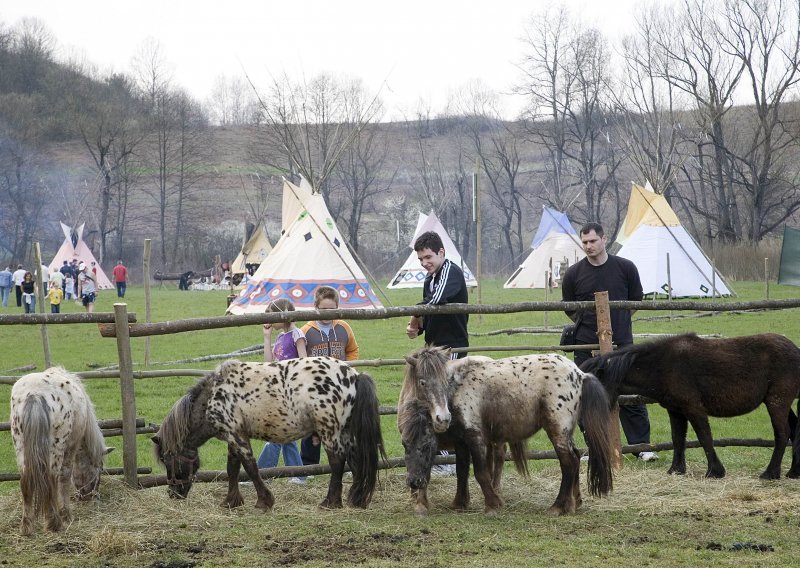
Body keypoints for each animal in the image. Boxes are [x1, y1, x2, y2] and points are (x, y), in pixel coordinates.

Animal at [9, 366, 111, 536]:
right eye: (99, 468)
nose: (88, 496)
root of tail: (35, 393)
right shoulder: (72, 446)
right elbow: (64, 477)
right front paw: (66, 514)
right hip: (56, 448)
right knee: (51, 478)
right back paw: (54, 523)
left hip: (20, 446)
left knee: (25, 482)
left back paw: (27, 527)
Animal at [152, 360, 388, 510]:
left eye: (167, 460)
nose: (173, 493)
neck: (212, 398)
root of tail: (354, 376)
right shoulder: (233, 437)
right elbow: (232, 469)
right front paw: (231, 501)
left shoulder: (237, 437)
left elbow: (250, 468)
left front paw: (264, 501)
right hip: (346, 432)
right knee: (355, 461)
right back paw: (357, 499)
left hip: (330, 432)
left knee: (338, 462)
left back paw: (330, 502)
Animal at [400, 346, 620, 516]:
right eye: (405, 445)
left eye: (427, 446)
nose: (442, 419)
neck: (457, 388)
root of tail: (580, 374)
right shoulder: (461, 442)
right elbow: (462, 471)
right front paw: (459, 503)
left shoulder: (476, 437)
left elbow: (481, 473)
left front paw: (492, 505)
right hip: (566, 432)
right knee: (576, 456)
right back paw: (574, 503)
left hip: (557, 430)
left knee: (569, 462)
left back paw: (557, 507)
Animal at [580, 332, 800, 480]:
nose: (581, 421)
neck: (662, 365)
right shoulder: (676, 411)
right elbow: (678, 439)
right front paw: (676, 470)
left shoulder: (694, 409)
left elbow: (705, 438)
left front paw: (715, 471)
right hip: (781, 403)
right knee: (794, 430)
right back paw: (793, 472)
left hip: (777, 402)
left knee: (782, 434)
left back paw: (770, 473)